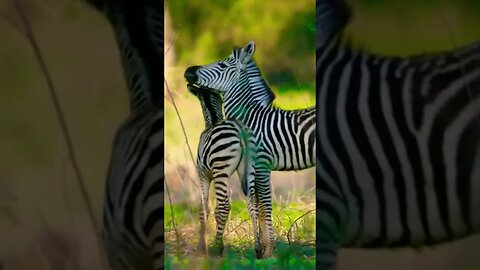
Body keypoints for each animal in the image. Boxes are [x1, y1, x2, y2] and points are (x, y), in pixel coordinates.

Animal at [186, 41, 316, 258]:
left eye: (222, 65)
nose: (188, 70)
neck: (250, 120)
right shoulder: (253, 168)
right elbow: (257, 204)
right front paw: (262, 248)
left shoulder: (262, 164)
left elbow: (265, 206)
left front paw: (268, 250)